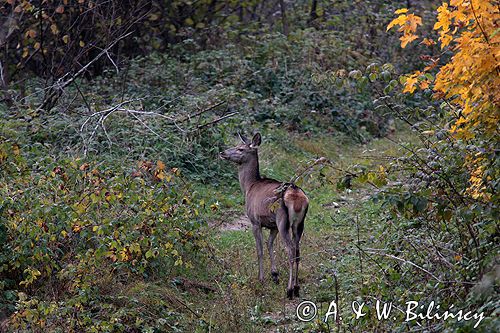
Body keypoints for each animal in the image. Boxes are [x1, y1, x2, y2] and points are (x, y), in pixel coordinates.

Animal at [220, 132, 308, 298]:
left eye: (240, 149)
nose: (222, 152)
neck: (249, 187)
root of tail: (297, 197)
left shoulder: (255, 221)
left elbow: (259, 250)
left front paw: (261, 279)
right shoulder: (272, 225)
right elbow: (269, 244)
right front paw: (274, 275)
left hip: (283, 219)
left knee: (290, 250)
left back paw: (289, 290)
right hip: (299, 223)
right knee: (298, 250)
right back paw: (297, 287)